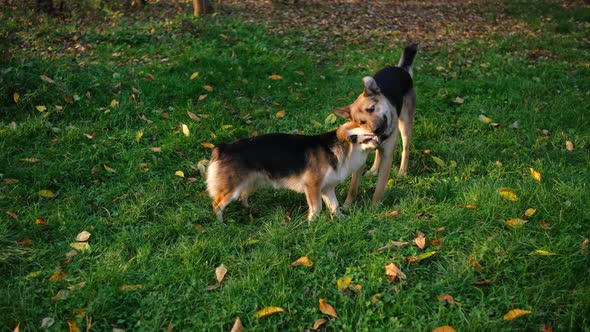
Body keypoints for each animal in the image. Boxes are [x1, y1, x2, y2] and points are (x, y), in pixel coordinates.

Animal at [208, 121, 380, 220]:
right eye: (367, 130)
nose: (381, 135)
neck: (344, 146)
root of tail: (223, 148)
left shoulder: (327, 189)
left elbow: (334, 205)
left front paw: (341, 219)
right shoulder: (312, 186)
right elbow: (317, 208)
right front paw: (311, 223)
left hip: (251, 182)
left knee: (242, 197)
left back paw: (247, 208)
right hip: (231, 189)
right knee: (217, 205)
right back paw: (221, 224)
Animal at [332, 43, 420, 206]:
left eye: (372, 108)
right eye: (361, 121)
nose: (376, 129)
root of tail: (401, 69)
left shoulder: (388, 157)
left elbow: (379, 187)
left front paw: (374, 207)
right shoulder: (360, 155)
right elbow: (353, 186)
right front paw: (347, 205)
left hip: (405, 125)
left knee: (405, 150)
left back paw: (402, 172)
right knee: (378, 152)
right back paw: (373, 170)